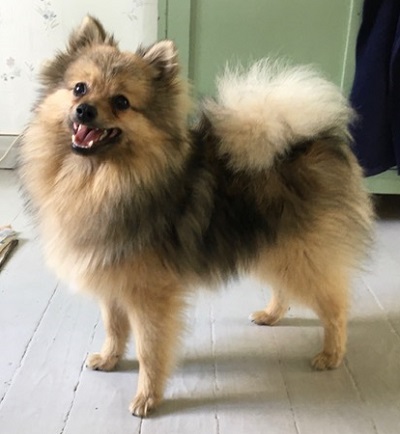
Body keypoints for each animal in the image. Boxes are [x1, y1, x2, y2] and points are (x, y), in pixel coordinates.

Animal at [18, 16, 374, 416]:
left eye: (122, 102)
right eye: (80, 88)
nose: (85, 110)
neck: (99, 180)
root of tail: (311, 140)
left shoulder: (149, 296)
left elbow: (150, 350)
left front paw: (147, 397)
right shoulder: (112, 280)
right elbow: (114, 327)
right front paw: (110, 359)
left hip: (301, 255)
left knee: (336, 307)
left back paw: (331, 354)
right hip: (274, 248)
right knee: (286, 288)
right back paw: (271, 315)